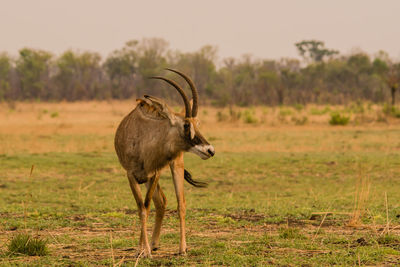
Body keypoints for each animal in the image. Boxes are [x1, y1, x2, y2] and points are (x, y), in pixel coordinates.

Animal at [114, 68, 214, 258]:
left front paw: (145, 251)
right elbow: (142, 208)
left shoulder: (155, 173)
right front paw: (142, 250)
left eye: (197, 123)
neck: (144, 138)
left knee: (179, 203)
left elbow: (146, 207)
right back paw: (151, 244)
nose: (209, 150)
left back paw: (181, 248)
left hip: (174, 166)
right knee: (160, 203)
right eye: (186, 125)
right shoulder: (131, 176)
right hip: (145, 179)